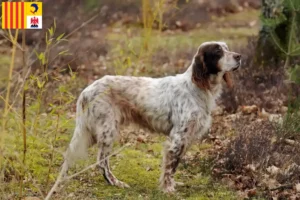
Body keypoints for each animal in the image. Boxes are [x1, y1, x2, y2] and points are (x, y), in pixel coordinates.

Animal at [55, 41, 240, 194]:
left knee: (71, 153)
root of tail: (86, 90)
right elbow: (170, 167)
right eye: (218, 51)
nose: (239, 56)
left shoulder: (186, 138)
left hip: (92, 132)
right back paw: (115, 182)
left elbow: (174, 166)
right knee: (101, 161)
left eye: (227, 47)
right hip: (107, 130)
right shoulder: (178, 138)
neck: (198, 88)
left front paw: (172, 185)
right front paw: (168, 189)